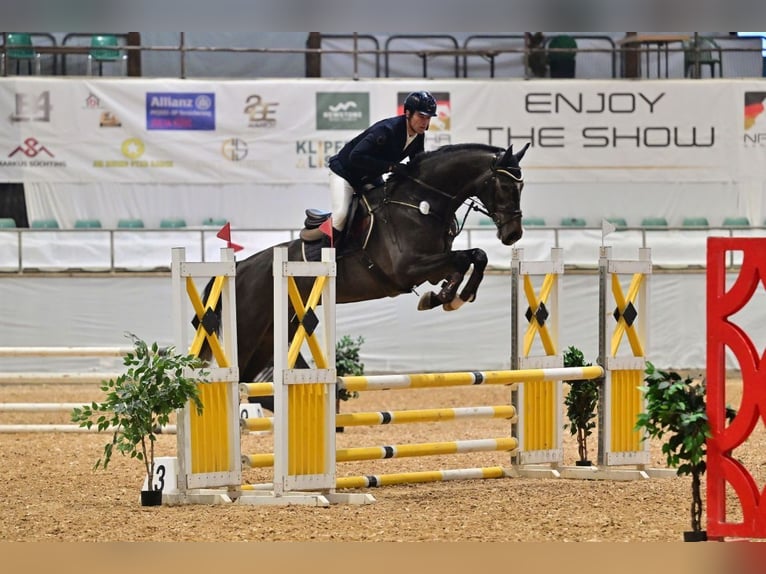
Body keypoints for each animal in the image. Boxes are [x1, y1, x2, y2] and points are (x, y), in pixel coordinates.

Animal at [200, 141, 528, 412]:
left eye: (521, 186)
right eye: (504, 186)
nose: (513, 235)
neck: (421, 203)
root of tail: (241, 268)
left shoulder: (433, 265)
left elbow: (474, 257)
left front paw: (447, 297)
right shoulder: (407, 269)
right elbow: (466, 257)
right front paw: (449, 297)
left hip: (272, 334)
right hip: (249, 331)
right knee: (233, 377)